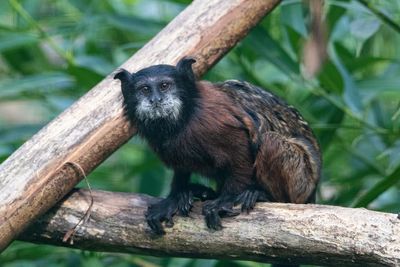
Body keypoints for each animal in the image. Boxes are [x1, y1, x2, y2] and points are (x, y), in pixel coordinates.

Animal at [114, 57, 320, 237]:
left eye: (164, 86)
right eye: (144, 90)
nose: (155, 100)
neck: (185, 117)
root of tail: (312, 193)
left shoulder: (215, 121)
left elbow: (242, 151)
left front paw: (225, 200)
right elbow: (181, 166)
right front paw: (175, 197)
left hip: (301, 182)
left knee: (271, 141)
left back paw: (261, 194)